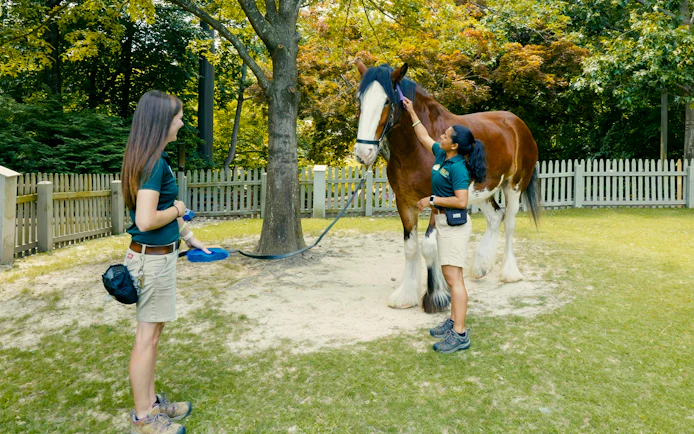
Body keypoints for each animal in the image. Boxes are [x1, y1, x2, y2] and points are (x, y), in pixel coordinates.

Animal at [353, 60, 541, 313]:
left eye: (386, 101)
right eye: (360, 100)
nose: (363, 153)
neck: (416, 149)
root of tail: (517, 123)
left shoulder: (436, 201)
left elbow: (429, 245)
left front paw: (436, 297)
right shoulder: (404, 203)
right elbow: (410, 247)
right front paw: (406, 295)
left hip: (514, 186)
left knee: (510, 223)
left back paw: (509, 273)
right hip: (482, 190)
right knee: (495, 217)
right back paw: (480, 267)